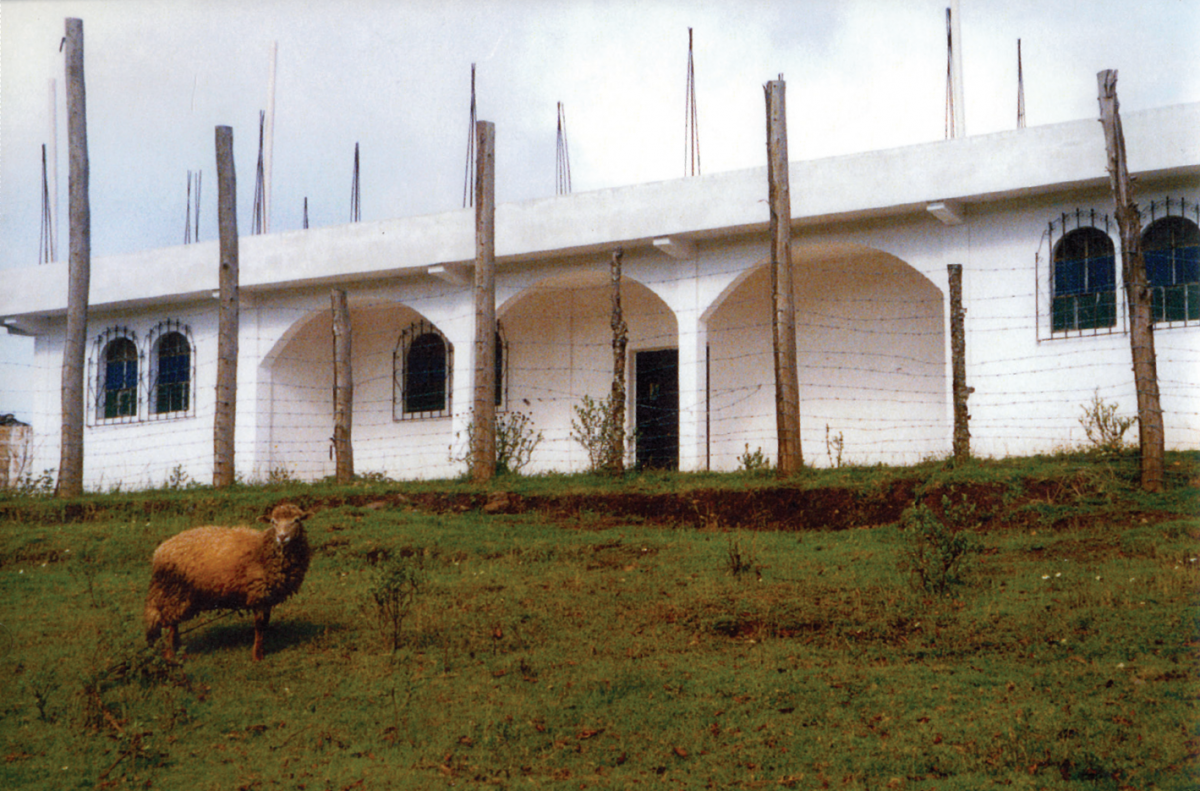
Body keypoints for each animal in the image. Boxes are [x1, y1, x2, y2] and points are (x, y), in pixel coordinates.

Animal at [143, 501, 314, 662]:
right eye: (273, 521)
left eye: (297, 520)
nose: (282, 537)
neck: (263, 549)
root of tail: (159, 551)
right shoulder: (258, 593)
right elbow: (259, 626)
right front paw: (257, 655)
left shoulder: (268, 595)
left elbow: (265, 623)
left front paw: (261, 651)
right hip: (174, 592)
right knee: (169, 625)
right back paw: (171, 655)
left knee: (173, 624)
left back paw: (180, 653)